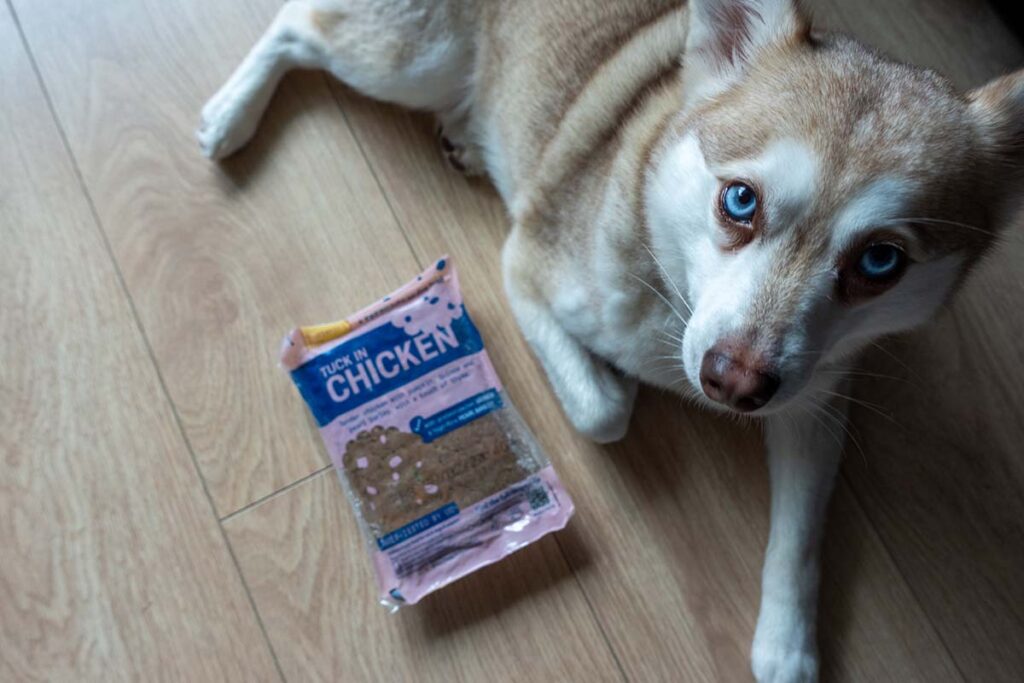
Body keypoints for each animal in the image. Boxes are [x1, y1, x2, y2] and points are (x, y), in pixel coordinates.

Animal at [199, 2, 1024, 679]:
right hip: (409, 56)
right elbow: (604, 412)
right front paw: (612, 391)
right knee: (299, 27)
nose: (735, 382)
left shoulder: (814, 394)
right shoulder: (527, 265)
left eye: (880, 261)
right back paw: (231, 115)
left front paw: (787, 645)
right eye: (740, 200)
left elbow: (800, 532)